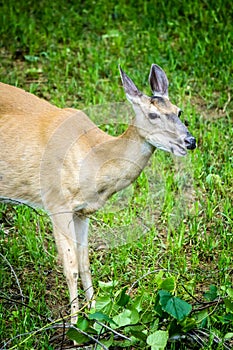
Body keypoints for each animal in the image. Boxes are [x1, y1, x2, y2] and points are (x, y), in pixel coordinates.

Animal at [0, 64, 196, 324]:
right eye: (153, 115)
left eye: (179, 111)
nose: (190, 141)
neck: (94, 158)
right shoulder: (56, 202)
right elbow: (70, 267)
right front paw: (74, 324)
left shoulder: (82, 211)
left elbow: (85, 262)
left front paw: (95, 314)